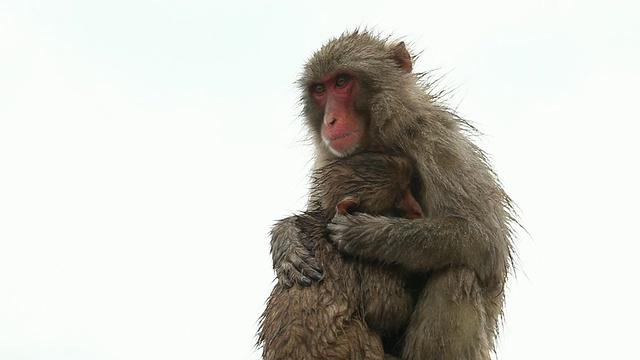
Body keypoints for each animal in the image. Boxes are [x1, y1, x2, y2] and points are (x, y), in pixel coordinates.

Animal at [268, 29, 516, 358]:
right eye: (320, 89)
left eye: (342, 82)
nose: (330, 120)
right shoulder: (329, 157)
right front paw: (287, 235)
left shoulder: (439, 142)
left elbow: (485, 242)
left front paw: (366, 234)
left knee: (457, 274)